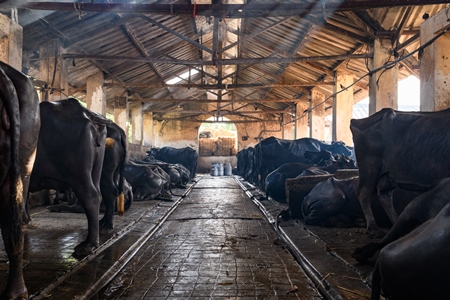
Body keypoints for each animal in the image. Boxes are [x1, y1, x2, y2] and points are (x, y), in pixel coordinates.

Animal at [29, 97, 108, 256]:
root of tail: (87, 114)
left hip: (78, 173)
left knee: (90, 197)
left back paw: (87, 245)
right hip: (95, 170)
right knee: (98, 195)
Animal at [352, 107, 450, 237]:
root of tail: (358, 121)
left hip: (387, 175)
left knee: (385, 195)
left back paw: (396, 224)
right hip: (370, 167)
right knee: (363, 193)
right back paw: (374, 228)